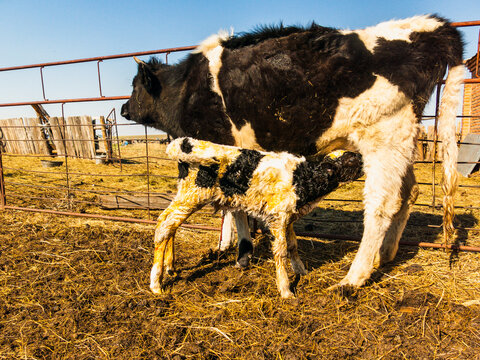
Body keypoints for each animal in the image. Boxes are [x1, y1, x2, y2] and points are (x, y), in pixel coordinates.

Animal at [152, 136, 362, 296]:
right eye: (351, 159)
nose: (362, 157)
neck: (301, 178)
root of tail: (186, 143)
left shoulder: (288, 218)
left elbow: (293, 246)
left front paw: (302, 271)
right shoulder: (277, 218)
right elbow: (281, 251)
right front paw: (286, 290)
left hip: (185, 196)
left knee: (169, 225)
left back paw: (170, 268)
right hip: (192, 195)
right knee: (164, 225)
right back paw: (156, 284)